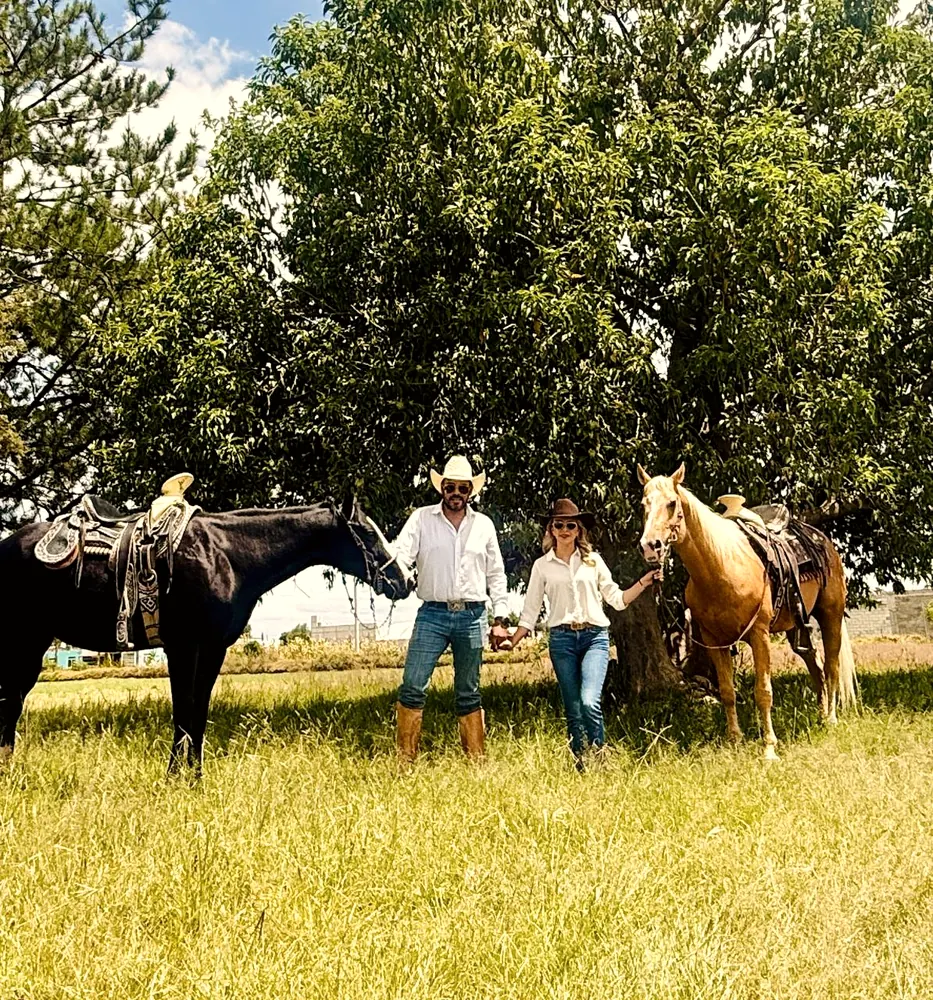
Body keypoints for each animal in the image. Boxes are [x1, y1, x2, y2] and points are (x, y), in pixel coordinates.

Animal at [0, 495, 413, 773]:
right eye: (366, 531)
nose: (404, 579)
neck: (225, 555)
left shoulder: (213, 649)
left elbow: (198, 712)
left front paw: (195, 776)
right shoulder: (183, 647)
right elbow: (183, 710)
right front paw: (173, 776)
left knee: (13, 702)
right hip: (24, 641)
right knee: (11, 701)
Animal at [638, 463, 856, 759]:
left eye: (672, 503)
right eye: (644, 504)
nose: (650, 546)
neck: (720, 566)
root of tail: (821, 540)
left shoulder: (759, 634)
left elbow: (763, 691)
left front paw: (769, 748)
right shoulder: (714, 641)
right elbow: (727, 691)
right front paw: (735, 739)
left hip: (830, 615)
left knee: (831, 666)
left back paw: (831, 719)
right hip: (796, 628)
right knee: (816, 665)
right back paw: (821, 715)